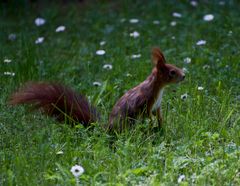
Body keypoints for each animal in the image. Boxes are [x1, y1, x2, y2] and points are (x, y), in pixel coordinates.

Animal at [8, 48, 186, 132]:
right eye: (172, 72)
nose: (184, 76)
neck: (158, 88)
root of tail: (108, 129)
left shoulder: (157, 105)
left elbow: (158, 114)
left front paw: (161, 123)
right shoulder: (145, 101)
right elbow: (147, 114)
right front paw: (152, 124)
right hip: (127, 122)